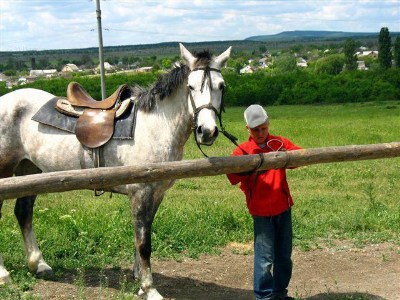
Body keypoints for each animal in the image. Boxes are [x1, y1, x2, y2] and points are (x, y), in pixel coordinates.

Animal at [0, 43, 231, 298]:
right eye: (191, 86)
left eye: (221, 85)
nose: (206, 131)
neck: (156, 125)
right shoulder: (141, 192)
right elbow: (144, 242)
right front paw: (149, 288)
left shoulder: (156, 193)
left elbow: (142, 234)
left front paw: (139, 277)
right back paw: (4, 275)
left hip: (30, 170)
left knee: (23, 212)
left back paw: (39, 264)